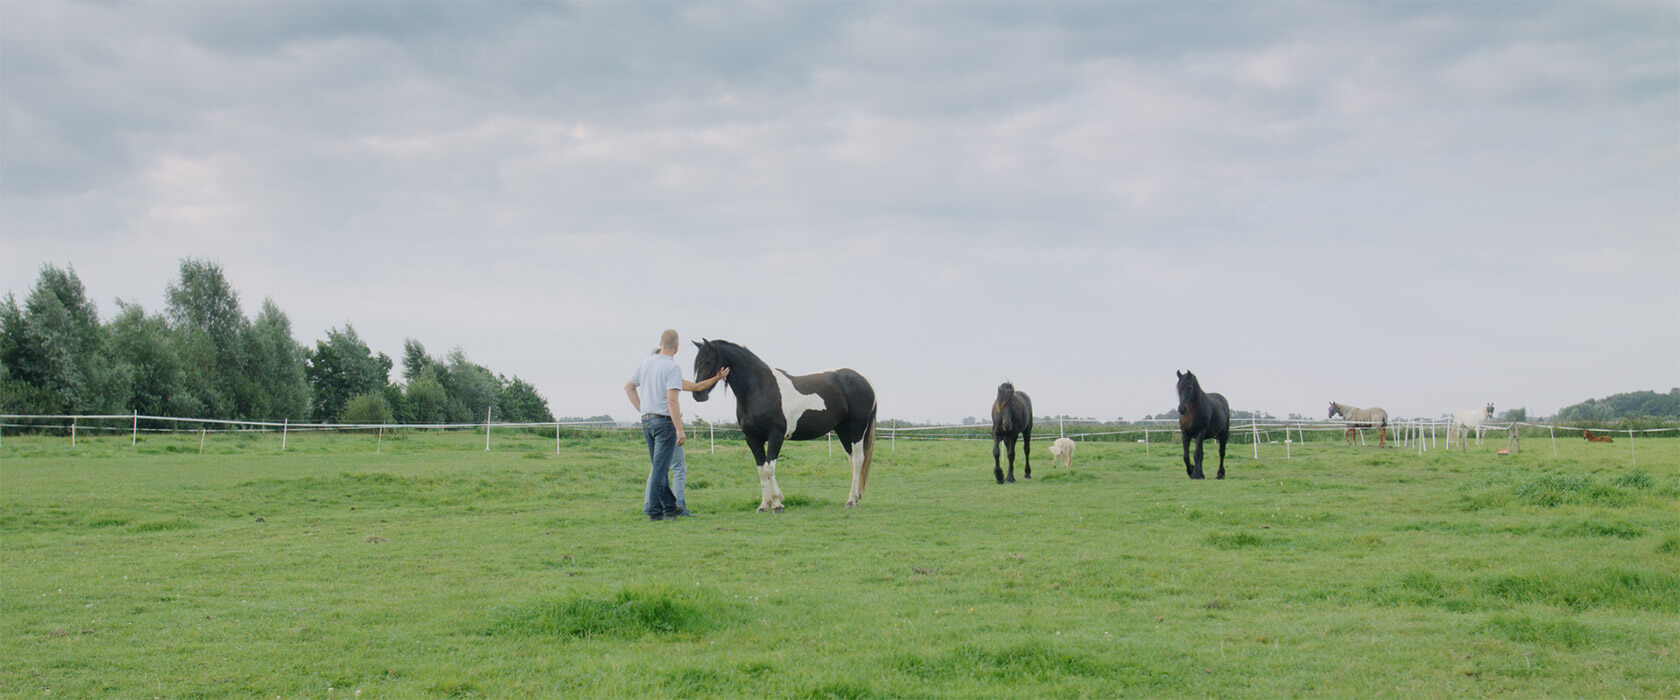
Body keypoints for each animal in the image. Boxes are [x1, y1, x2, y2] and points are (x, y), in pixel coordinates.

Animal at [692, 339, 880, 510]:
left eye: (707, 361)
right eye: (696, 363)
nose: (698, 394)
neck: (760, 388)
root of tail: (866, 382)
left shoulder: (776, 435)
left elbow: (770, 467)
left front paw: (777, 503)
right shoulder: (752, 439)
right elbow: (762, 470)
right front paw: (764, 504)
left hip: (856, 430)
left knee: (858, 460)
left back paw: (851, 501)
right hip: (842, 431)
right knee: (852, 461)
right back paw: (855, 497)